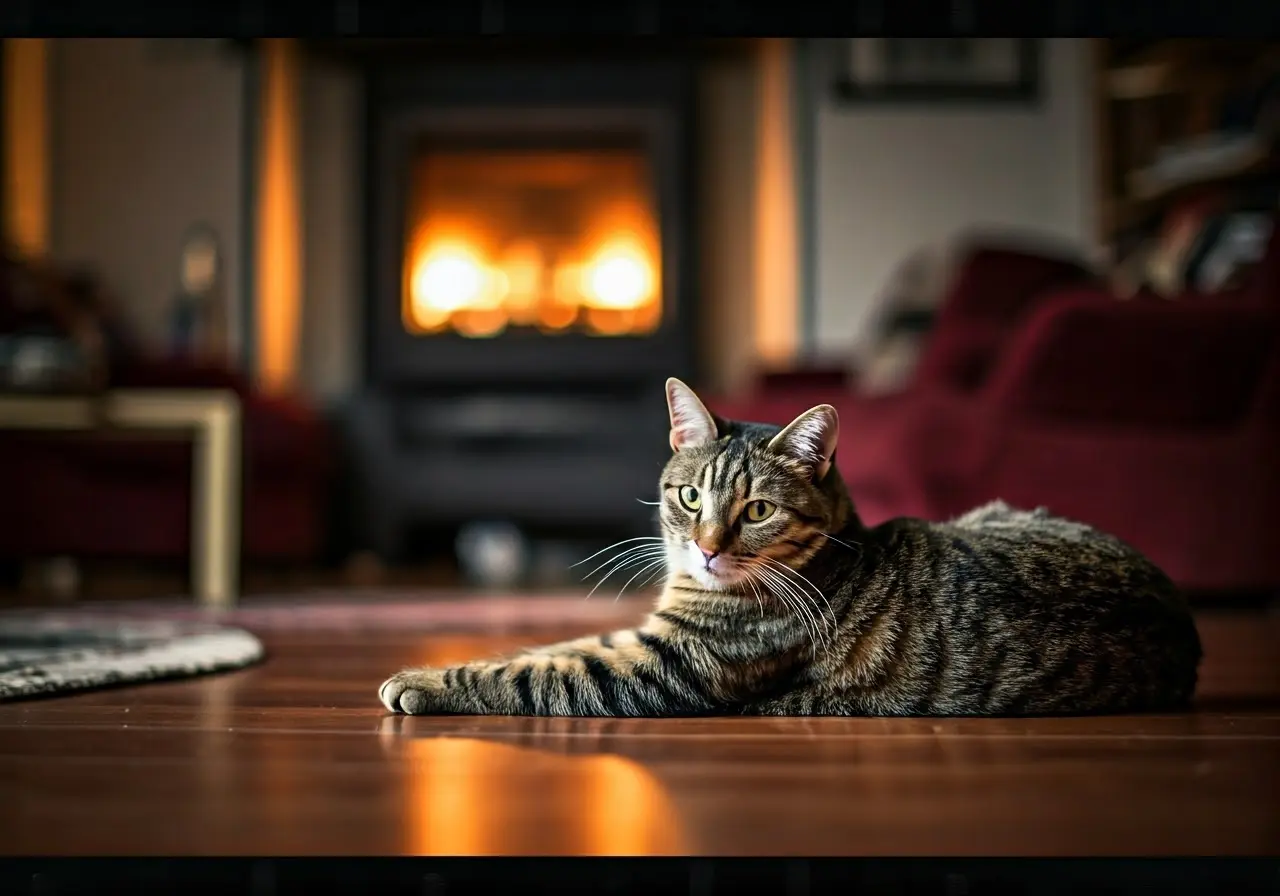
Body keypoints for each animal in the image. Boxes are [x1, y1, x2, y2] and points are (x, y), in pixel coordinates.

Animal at [376, 376, 1198, 711]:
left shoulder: (663, 664)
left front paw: (422, 682)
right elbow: (547, 649)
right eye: (691, 498)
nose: (708, 547)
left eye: (759, 509)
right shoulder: (638, 635)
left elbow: (534, 676)